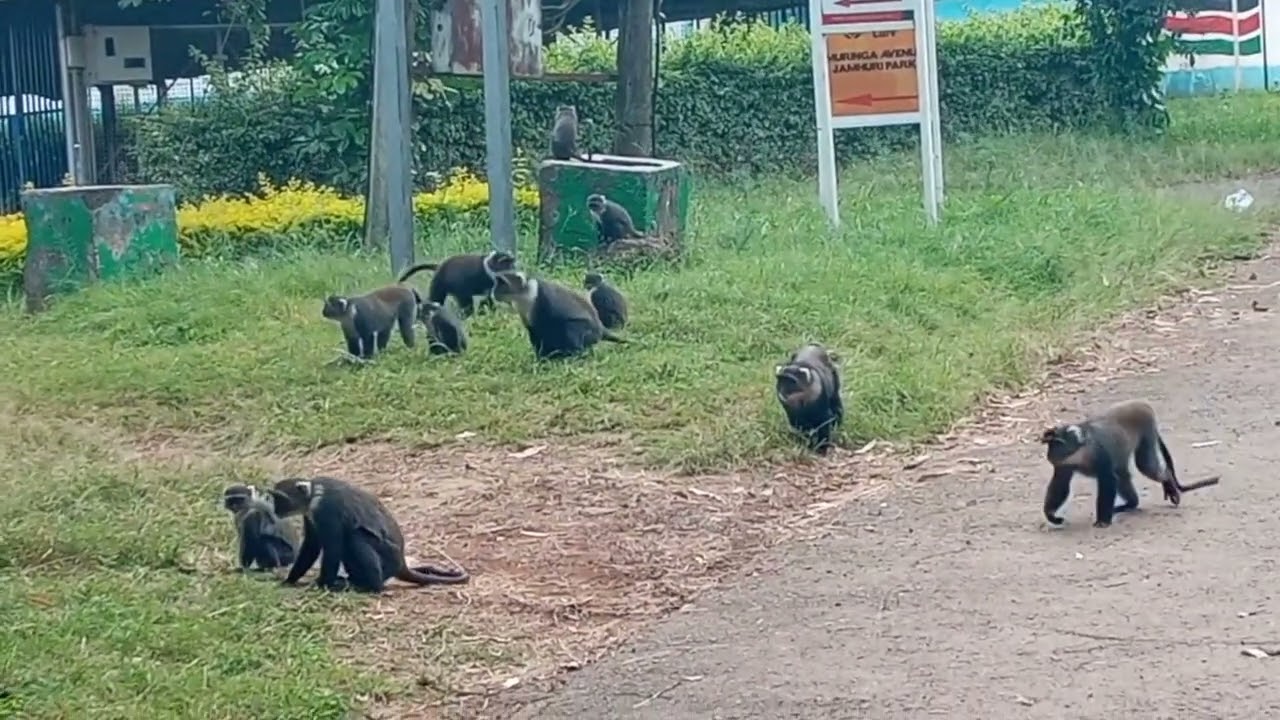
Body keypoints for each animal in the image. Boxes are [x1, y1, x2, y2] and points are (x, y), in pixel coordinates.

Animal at [269, 476, 469, 593]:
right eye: (274, 497)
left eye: (279, 497)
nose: (275, 509)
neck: (313, 494)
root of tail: (401, 563)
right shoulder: (311, 516)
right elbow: (311, 546)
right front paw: (289, 580)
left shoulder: (328, 510)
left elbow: (332, 548)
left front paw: (322, 585)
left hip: (386, 557)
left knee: (355, 537)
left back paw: (370, 586)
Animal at [491, 270, 627, 360]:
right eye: (498, 282)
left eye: (503, 283)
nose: (494, 291)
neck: (523, 293)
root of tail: (600, 329)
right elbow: (534, 331)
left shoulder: (541, 302)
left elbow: (546, 326)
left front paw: (543, 359)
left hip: (587, 332)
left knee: (570, 327)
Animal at [1040, 399, 1221, 529]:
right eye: (1053, 443)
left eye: (1060, 442)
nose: (1050, 455)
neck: (1082, 453)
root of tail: (1142, 404)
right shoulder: (1063, 465)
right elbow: (1060, 483)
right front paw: (1051, 515)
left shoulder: (1101, 454)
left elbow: (1108, 480)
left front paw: (1103, 521)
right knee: (1123, 475)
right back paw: (1130, 504)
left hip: (1147, 430)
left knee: (1145, 466)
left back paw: (1168, 482)